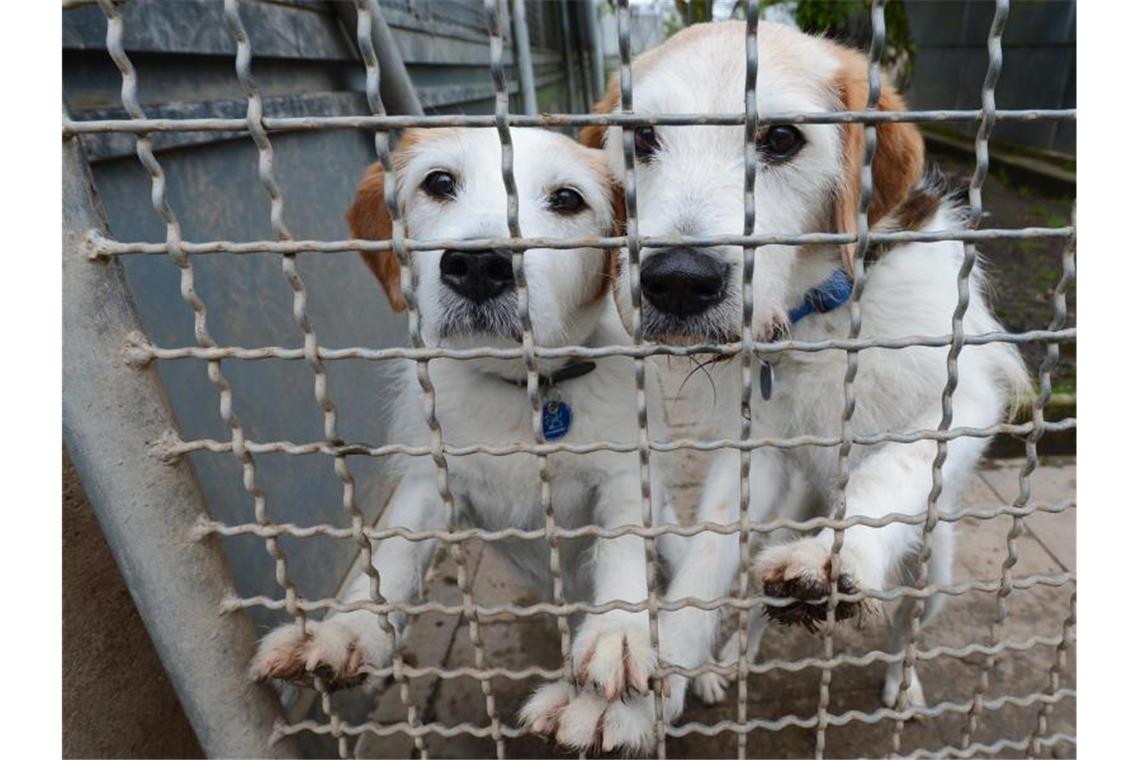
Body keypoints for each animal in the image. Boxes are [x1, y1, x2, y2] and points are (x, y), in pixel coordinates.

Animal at [249, 127, 679, 706]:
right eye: (439, 182)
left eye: (568, 199)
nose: (478, 266)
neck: (519, 392)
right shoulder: (430, 482)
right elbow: (393, 557)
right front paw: (346, 631)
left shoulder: (624, 476)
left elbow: (624, 546)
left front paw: (620, 632)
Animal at [524, 19, 1035, 756]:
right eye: (642, 137)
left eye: (783, 139)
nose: (677, 282)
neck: (820, 311)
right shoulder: (751, 452)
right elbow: (705, 562)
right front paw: (638, 694)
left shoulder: (963, 396)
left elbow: (898, 463)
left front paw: (835, 555)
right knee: (755, 599)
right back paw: (732, 657)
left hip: (932, 569)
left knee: (908, 625)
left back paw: (900, 679)